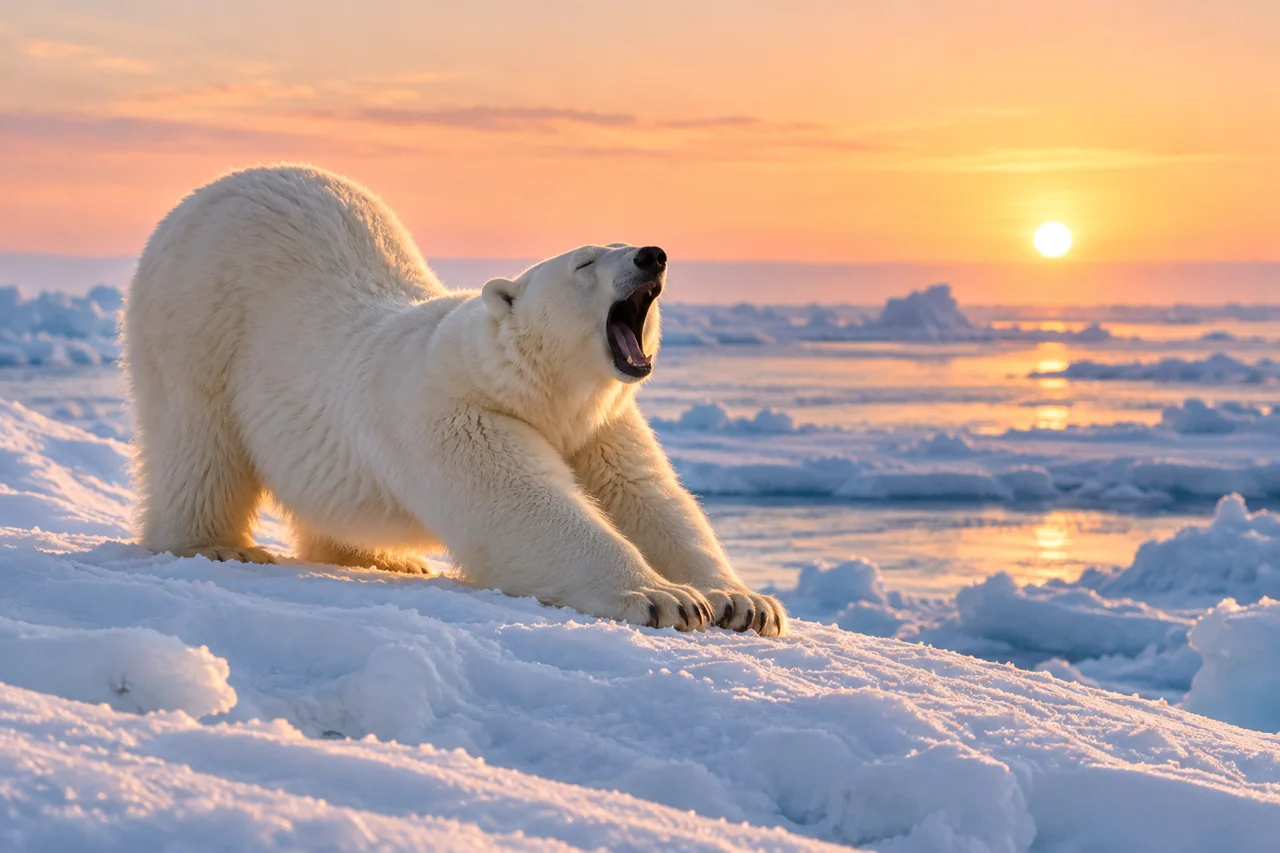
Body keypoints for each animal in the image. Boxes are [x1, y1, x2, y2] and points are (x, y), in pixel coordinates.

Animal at [124, 165, 787, 636]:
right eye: (586, 261)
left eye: (627, 243)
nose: (653, 255)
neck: (533, 388)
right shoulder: (459, 415)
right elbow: (526, 509)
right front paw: (663, 597)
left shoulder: (600, 425)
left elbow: (651, 499)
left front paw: (743, 602)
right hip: (195, 321)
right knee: (198, 441)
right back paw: (217, 545)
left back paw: (387, 560)